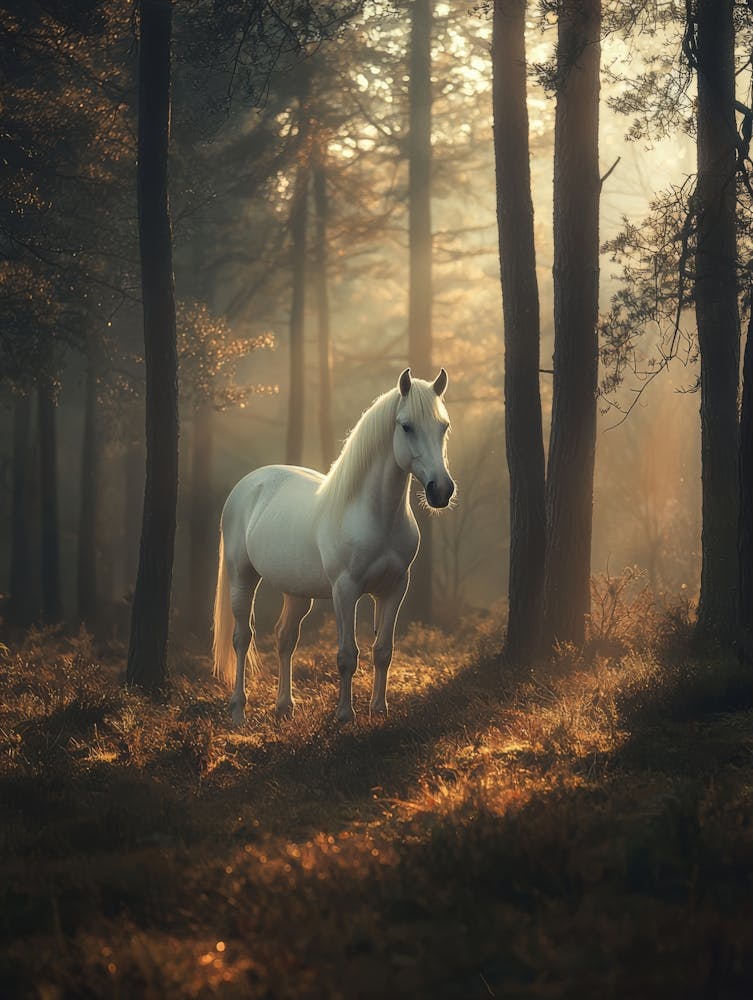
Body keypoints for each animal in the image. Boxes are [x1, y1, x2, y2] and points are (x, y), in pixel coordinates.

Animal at [212, 367, 455, 725]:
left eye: (444, 426)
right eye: (407, 426)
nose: (442, 491)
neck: (374, 515)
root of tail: (248, 484)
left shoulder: (395, 588)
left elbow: (383, 651)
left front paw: (379, 710)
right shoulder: (345, 590)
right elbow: (347, 655)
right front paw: (344, 715)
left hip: (297, 591)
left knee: (285, 638)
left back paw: (284, 706)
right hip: (242, 577)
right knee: (242, 638)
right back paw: (238, 710)